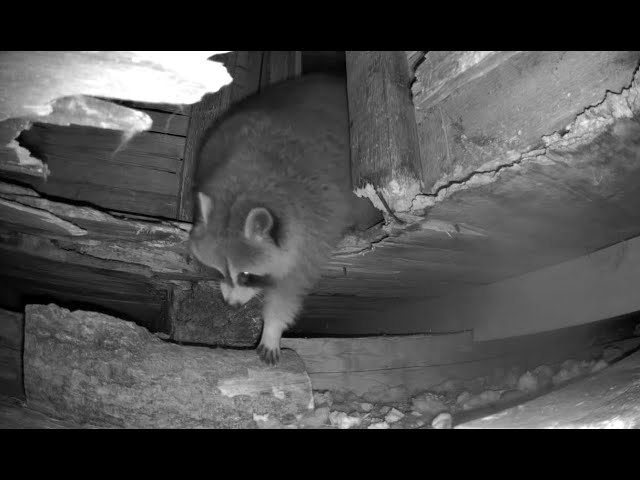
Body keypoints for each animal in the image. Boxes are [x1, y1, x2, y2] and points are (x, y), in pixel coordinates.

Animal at [189, 74, 358, 365]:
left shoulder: (316, 228)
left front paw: (273, 327)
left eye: (247, 275)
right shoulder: (215, 150)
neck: (247, 183)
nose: (231, 305)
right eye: (218, 271)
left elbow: (291, 286)